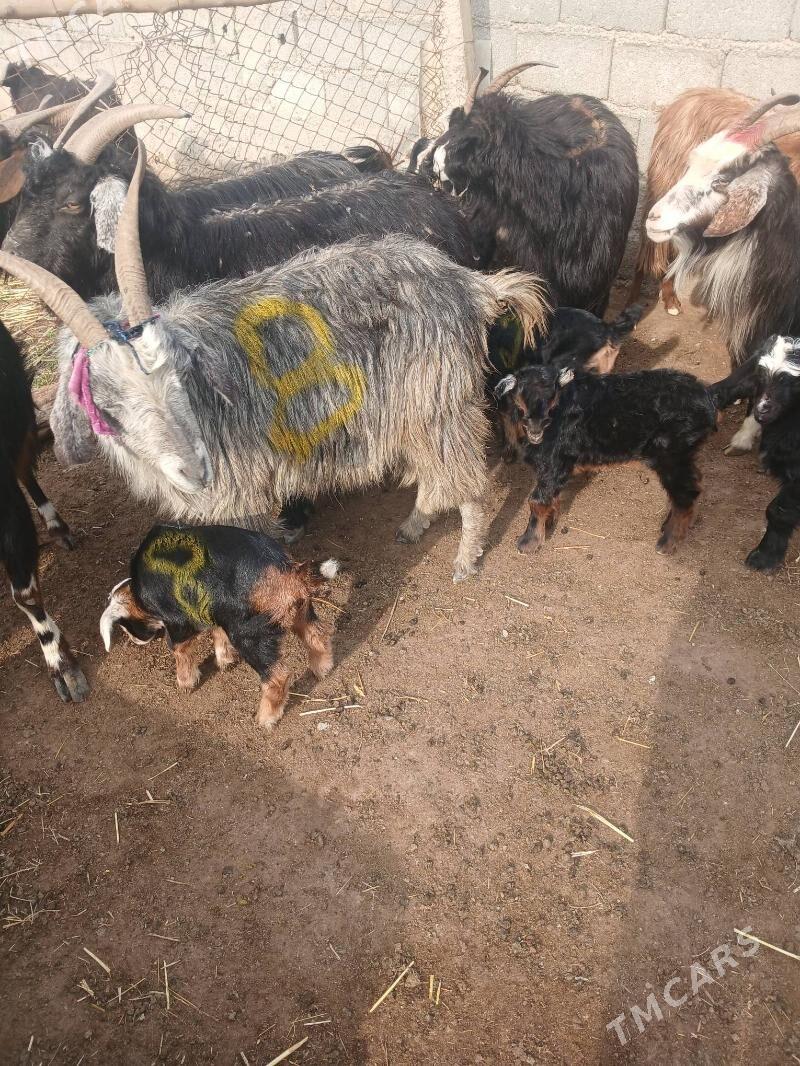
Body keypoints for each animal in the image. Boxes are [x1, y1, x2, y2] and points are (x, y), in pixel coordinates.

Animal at [0, 142, 550, 583]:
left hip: (442, 402)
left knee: (470, 486)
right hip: (415, 407)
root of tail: (470, 284)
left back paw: (465, 561)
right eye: (105, 399)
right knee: (435, 475)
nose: (195, 469)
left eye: (175, 373)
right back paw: (415, 525)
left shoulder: (241, 495)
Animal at [100, 524, 337, 730]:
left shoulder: (179, 622)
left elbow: (178, 648)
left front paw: (186, 684)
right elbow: (217, 633)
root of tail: (291, 572)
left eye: (125, 626)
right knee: (317, 635)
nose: (135, 640)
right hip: (302, 611)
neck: (140, 594)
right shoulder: (215, 610)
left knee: (278, 676)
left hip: (250, 636)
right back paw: (322, 670)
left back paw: (264, 720)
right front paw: (225, 661)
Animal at [496, 363, 720, 556]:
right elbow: (550, 495)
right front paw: (550, 522)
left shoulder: (554, 462)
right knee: (694, 483)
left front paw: (528, 543)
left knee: (686, 493)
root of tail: (708, 397)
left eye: (552, 401)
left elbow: (537, 500)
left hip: (672, 454)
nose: (536, 430)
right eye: (520, 401)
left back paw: (668, 542)